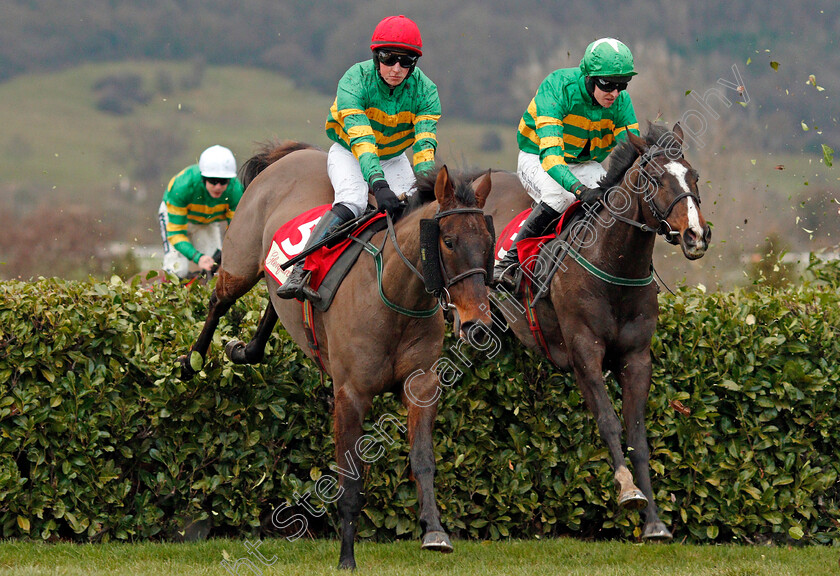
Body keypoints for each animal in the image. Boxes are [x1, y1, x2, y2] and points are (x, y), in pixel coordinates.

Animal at [176, 142, 492, 568]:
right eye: (448, 242)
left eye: (487, 242)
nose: (478, 323)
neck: (393, 295)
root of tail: (290, 155)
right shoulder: (350, 395)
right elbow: (351, 478)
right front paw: (347, 557)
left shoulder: (422, 386)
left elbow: (423, 458)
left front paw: (435, 531)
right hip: (239, 264)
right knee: (217, 301)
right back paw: (190, 361)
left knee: (274, 304)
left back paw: (247, 347)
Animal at [480, 122, 708, 540]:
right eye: (655, 179)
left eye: (694, 176)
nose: (696, 236)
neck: (613, 265)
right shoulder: (584, 350)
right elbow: (608, 421)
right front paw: (628, 490)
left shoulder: (636, 358)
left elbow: (637, 436)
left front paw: (654, 522)